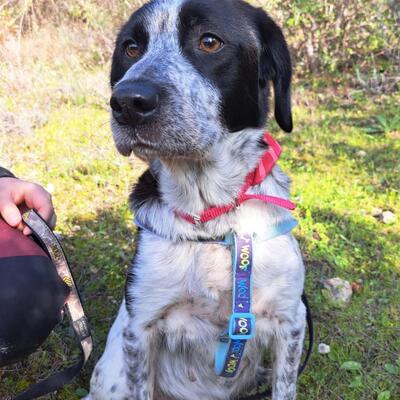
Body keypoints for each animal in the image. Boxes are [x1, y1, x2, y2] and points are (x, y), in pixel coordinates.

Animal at [87, 1, 306, 399]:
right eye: (131, 48)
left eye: (209, 41)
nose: (127, 102)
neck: (211, 220)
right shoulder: (140, 328)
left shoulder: (289, 321)